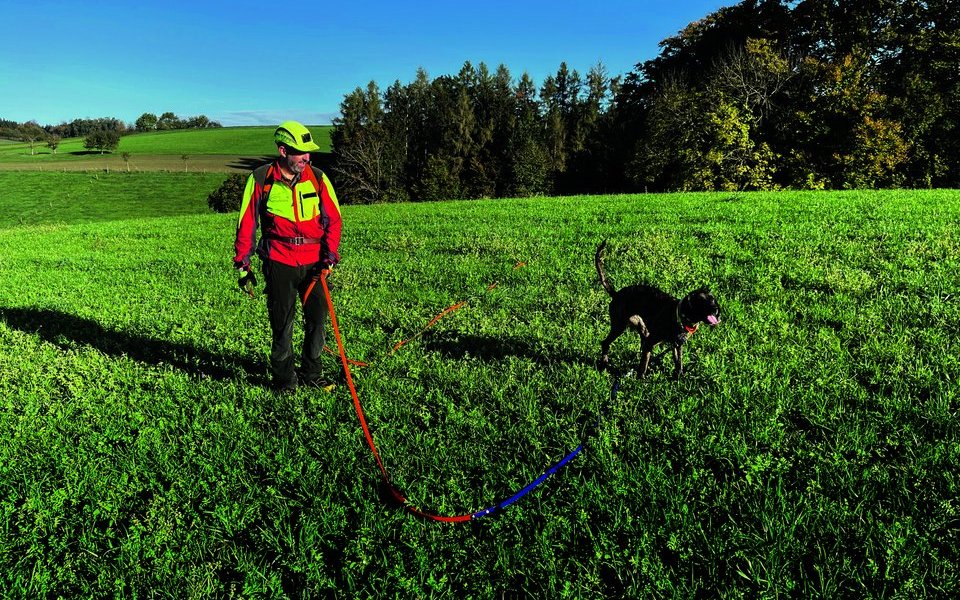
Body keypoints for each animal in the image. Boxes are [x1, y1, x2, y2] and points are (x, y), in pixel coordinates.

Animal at [592, 240, 720, 378]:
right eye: (701, 301)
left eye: (713, 300)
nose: (716, 309)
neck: (678, 317)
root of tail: (616, 294)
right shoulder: (652, 342)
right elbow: (643, 366)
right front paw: (640, 379)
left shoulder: (677, 345)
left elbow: (678, 363)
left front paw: (679, 378)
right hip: (619, 326)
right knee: (605, 343)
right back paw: (604, 363)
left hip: (642, 328)